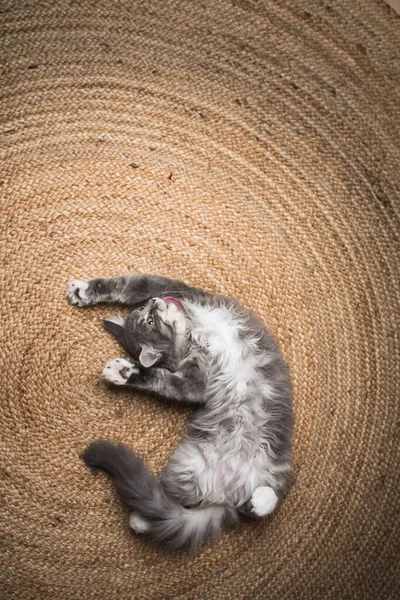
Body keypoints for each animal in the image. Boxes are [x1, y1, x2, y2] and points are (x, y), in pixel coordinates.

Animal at [67, 274, 292, 552]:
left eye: (147, 316)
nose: (153, 303)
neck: (191, 335)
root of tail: (223, 495)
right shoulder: (196, 383)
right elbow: (161, 379)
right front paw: (128, 372)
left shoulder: (176, 289)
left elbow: (126, 285)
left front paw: (83, 291)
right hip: (185, 467)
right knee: (174, 508)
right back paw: (141, 520)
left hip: (273, 468)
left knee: (262, 503)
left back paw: (262, 499)